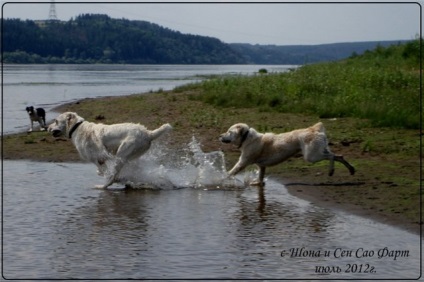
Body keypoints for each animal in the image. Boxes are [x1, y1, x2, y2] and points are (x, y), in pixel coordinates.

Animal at [219, 122, 354, 186]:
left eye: (229, 131)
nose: (220, 135)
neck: (246, 138)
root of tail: (314, 129)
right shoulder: (262, 166)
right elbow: (261, 176)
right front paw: (258, 183)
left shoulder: (242, 162)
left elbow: (230, 172)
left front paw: (219, 179)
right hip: (319, 150)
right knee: (338, 156)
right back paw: (351, 169)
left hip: (311, 156)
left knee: (331, 156)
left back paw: (331, 171)